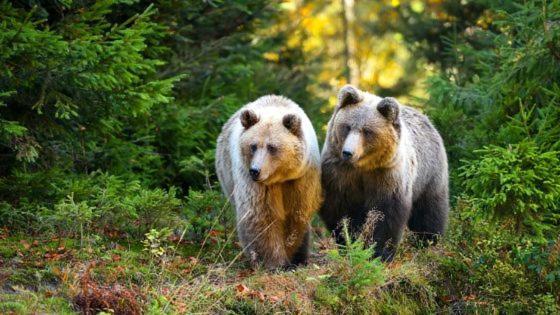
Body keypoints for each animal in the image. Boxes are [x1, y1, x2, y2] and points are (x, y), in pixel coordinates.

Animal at [215, 95, 322, 270]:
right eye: (253, 146)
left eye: (272, 147)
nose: (255, 170)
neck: (280, 177)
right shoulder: (255, 183)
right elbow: (262, 215)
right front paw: (275, 261)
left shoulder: (301, 178)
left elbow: (297, 212)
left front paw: (292, 253)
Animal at [322, 84, 448, 262]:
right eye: (347, 126)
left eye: (367, 131)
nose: (348, 152)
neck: (362, 166)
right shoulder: (339, 174)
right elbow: (341, 211)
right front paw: (349, 242)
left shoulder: (387, 176)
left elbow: (386, 215)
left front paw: (379, 253)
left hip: (429, 174)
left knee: (429, 211)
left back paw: (427, 242)